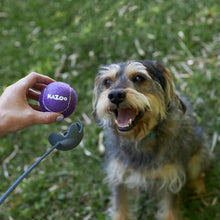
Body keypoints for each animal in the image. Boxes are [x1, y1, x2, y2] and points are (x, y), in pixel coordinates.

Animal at [92, 60, 211, 220]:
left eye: (138, 78)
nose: (115, 95)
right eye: (107, 81)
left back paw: (200, 187)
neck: (140, 139)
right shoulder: (119, 178)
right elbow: (120, 209)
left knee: (197, 171)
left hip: (198, 155)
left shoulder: (171, 180)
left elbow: (170, 212)